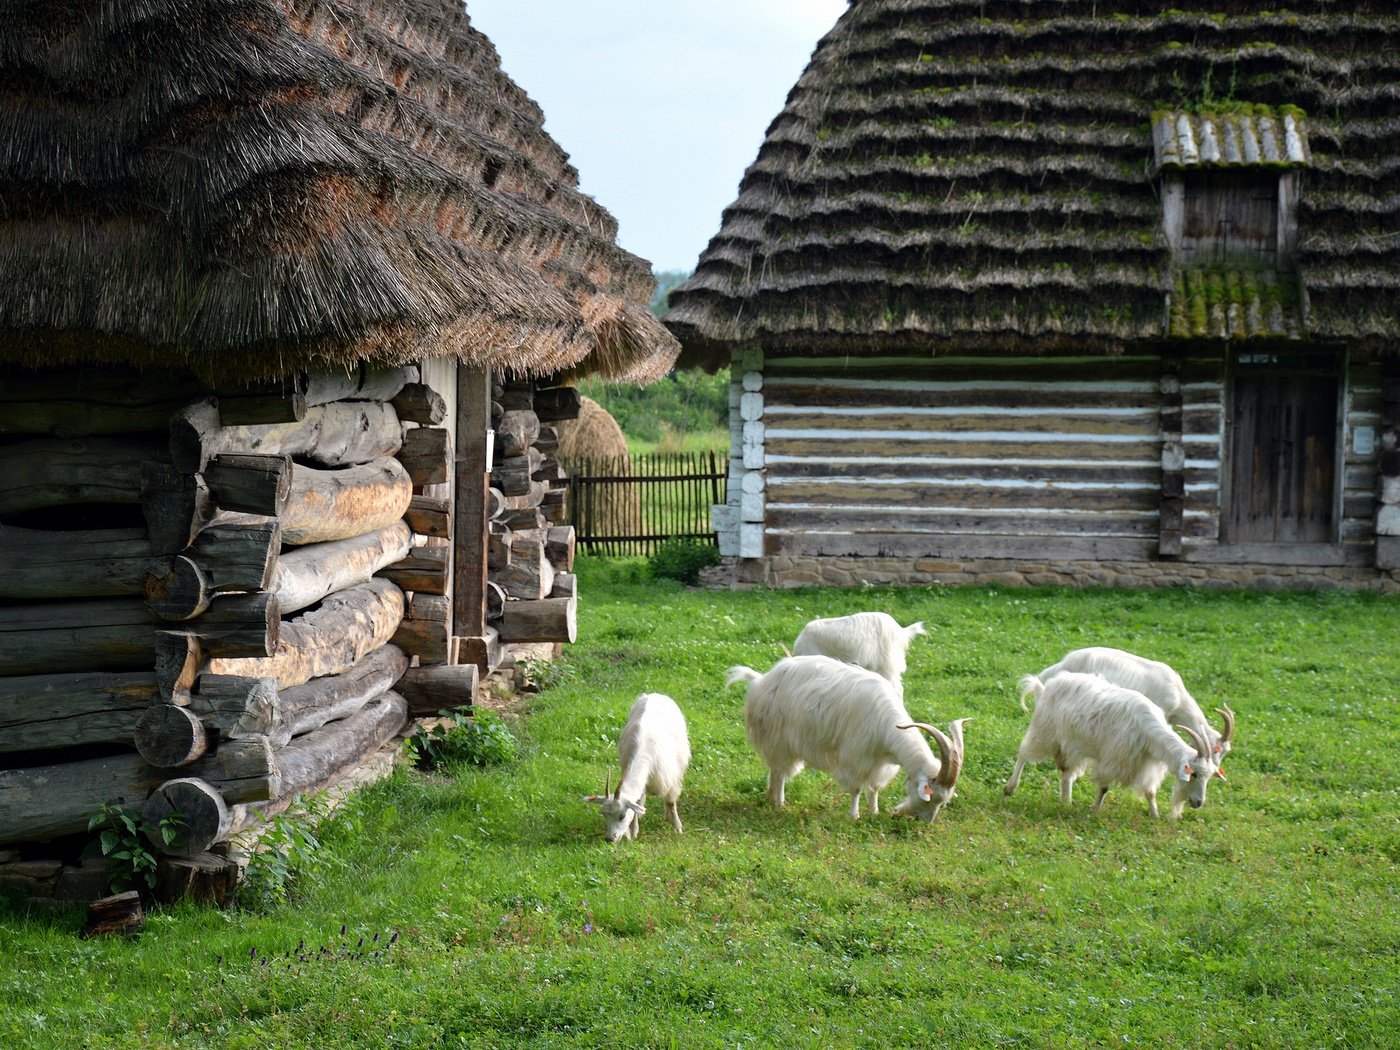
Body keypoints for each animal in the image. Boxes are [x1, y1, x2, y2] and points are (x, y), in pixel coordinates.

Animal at [579, 691, 688, 845]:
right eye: (604, 815)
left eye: (622, 816)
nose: (610, 839)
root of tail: (656, 694)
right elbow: (636, 803)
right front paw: (634, 831)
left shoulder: (670, 778)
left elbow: (671, 801)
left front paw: (677, 827)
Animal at [728, 658, 968, 823]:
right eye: (931, 797)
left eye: (943, 801)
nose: (925, 821)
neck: (887, 727)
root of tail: (760, 680)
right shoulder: (856, 757)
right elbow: (856, 789)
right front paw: (855, 815)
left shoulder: (879, 763)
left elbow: (874, 788)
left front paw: (874, 811)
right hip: (779, 740)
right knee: (779, 772)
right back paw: (779, 803)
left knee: (775, 771)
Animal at [1008, 674, 1215, 823]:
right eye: (1193, 774)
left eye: (1208, 777)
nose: (1199, 802)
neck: (1147, 729)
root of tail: (1047, 686)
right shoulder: (1114, 758)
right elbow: (1104, 787)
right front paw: (1095, 809)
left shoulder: (1146, 763)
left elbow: (1150, 791)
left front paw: (1154, 814)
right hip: (1045, 731)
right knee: (1024, 753)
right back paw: (1010, 787)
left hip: (1073, 745)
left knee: (1067, 774)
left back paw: (1066, 802)